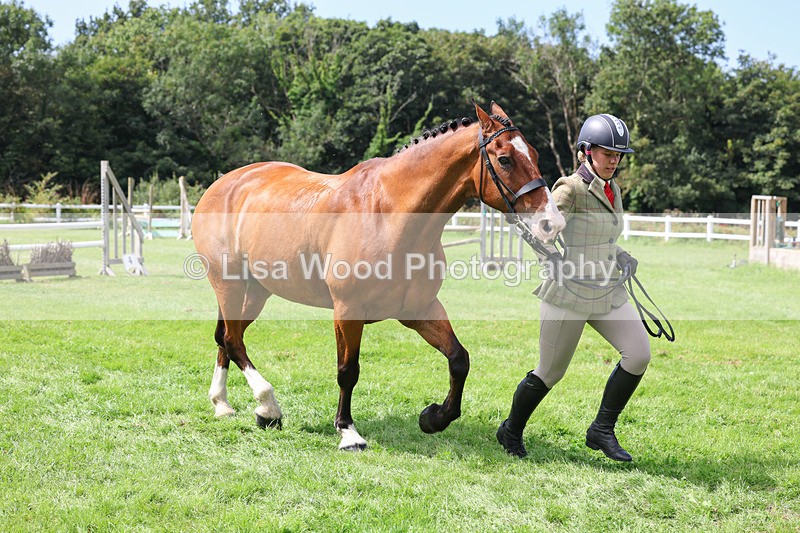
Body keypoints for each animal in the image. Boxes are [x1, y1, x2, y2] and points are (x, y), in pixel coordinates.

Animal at [191, 102, 566, 450]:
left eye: (533, 153)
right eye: (504, 159)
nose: (552, 223)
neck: (388, 216)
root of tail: (223, 184)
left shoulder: (420, 310)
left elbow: (459, 359)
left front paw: (434, 417)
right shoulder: (347, 311)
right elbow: (348, 371)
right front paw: (347, 432)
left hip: (256, 291)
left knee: (227, 338)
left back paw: (224, 404)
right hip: (229, 283)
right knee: (233, 340)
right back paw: (268, 406)